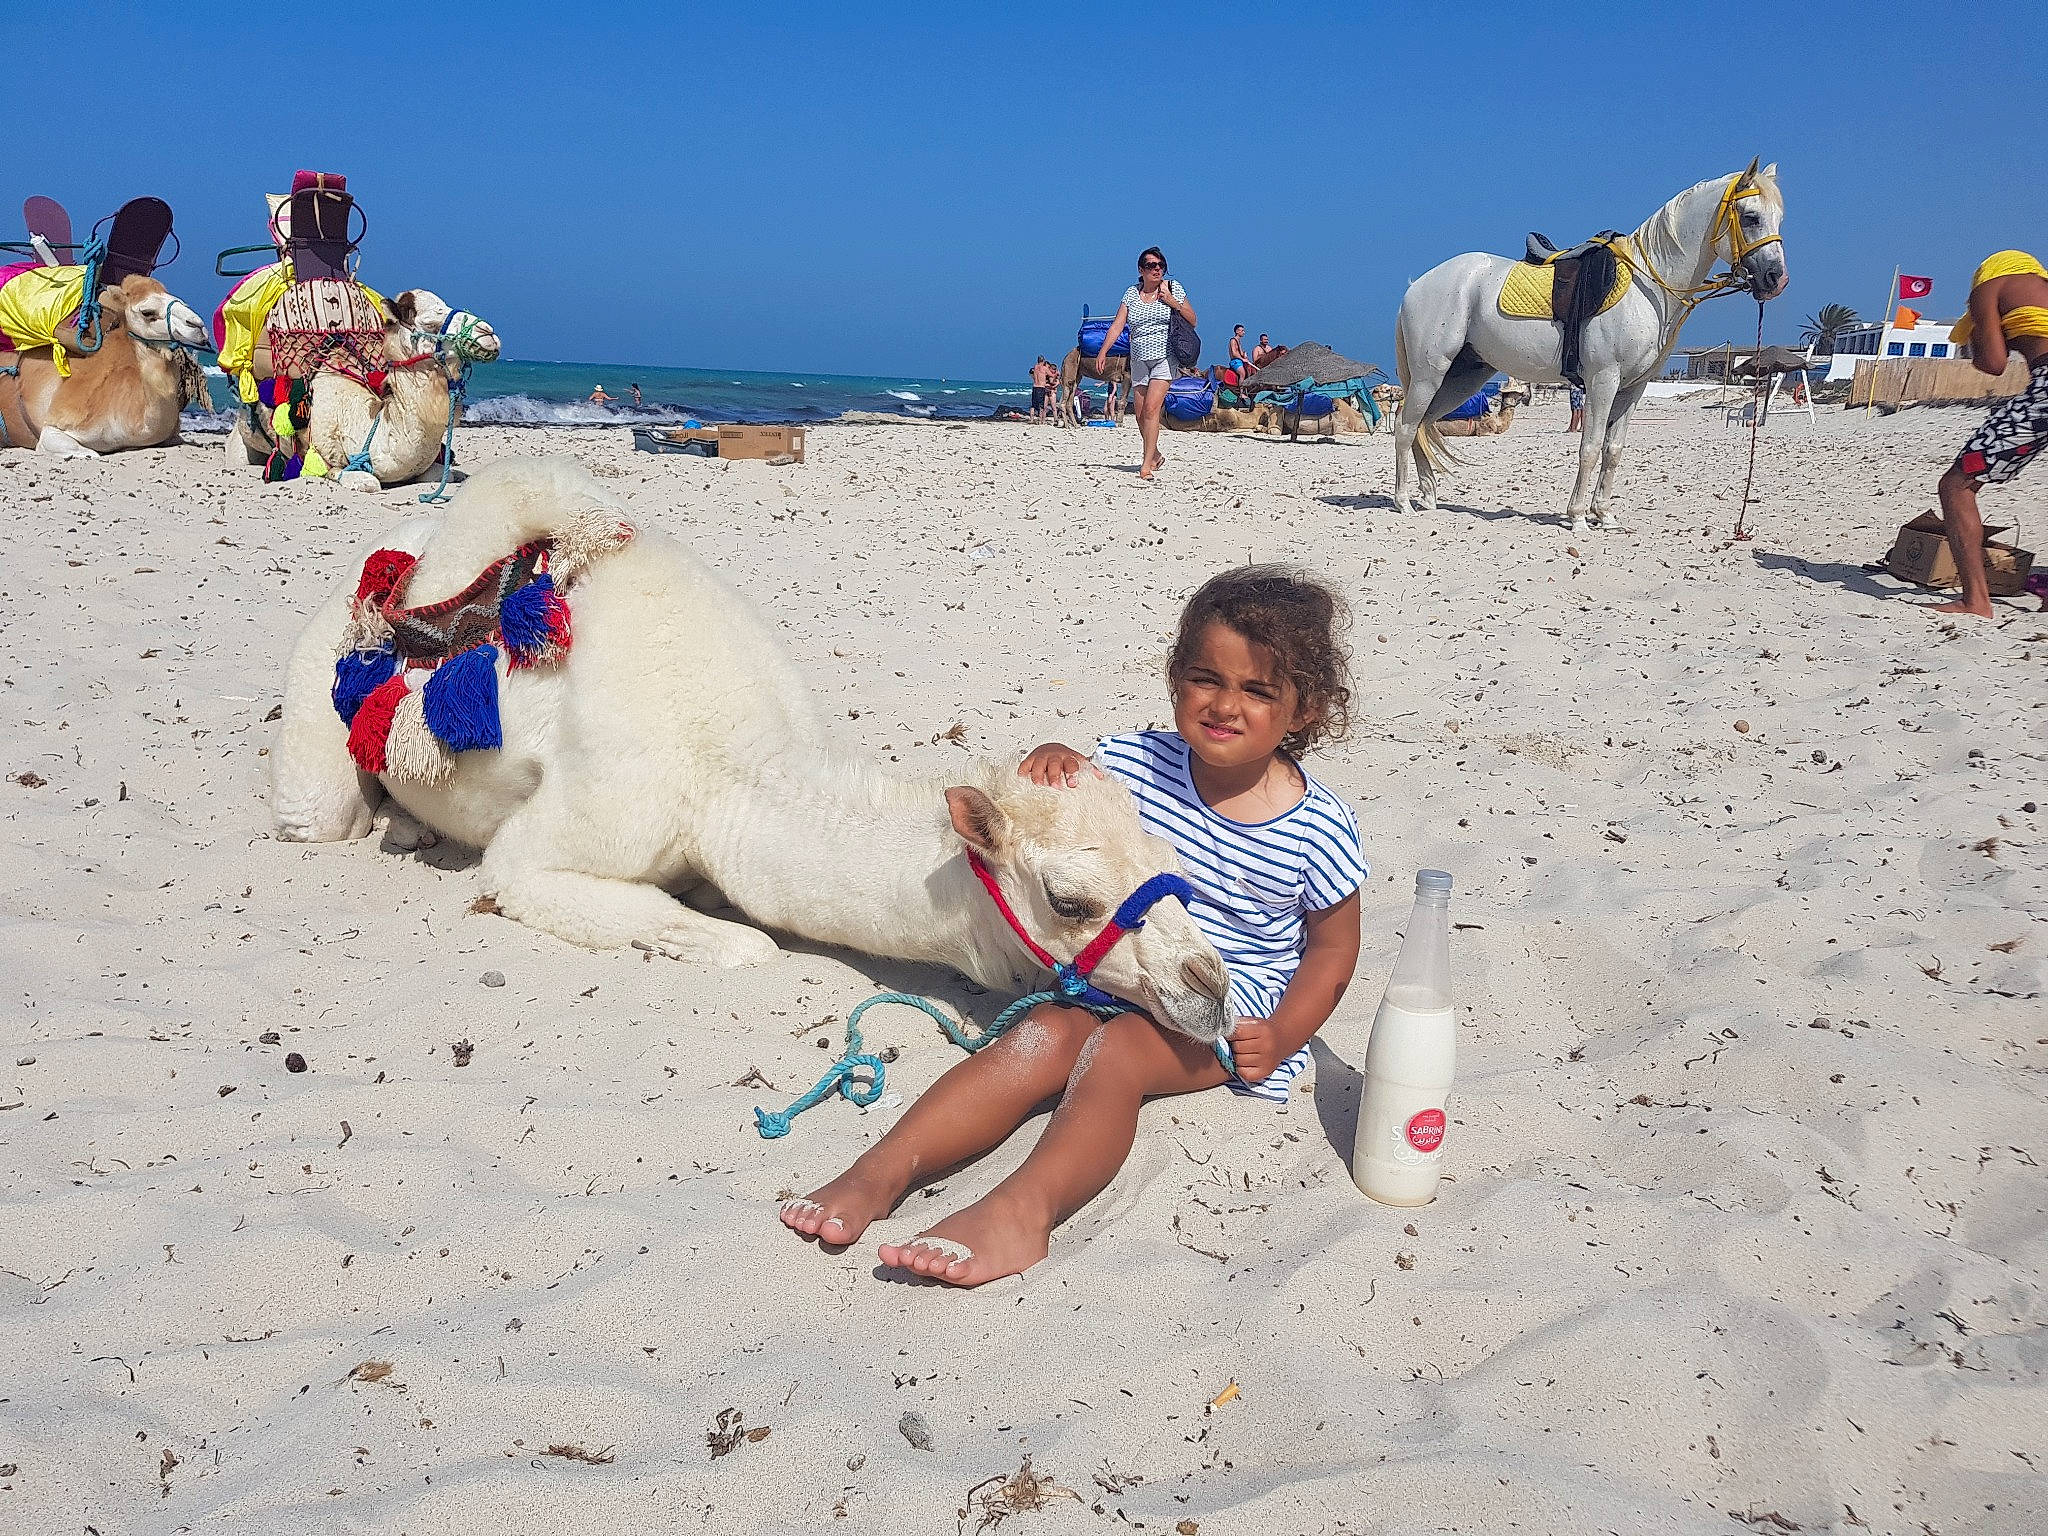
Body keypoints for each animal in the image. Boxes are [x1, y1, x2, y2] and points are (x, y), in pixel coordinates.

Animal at [271, 457, 1232, 1043]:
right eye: (1071, 901)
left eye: (1171, 861)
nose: (1211, 985)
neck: (729, 772)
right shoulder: (579, 829)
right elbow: (733, 940)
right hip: (324, 682)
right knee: (324, 813)